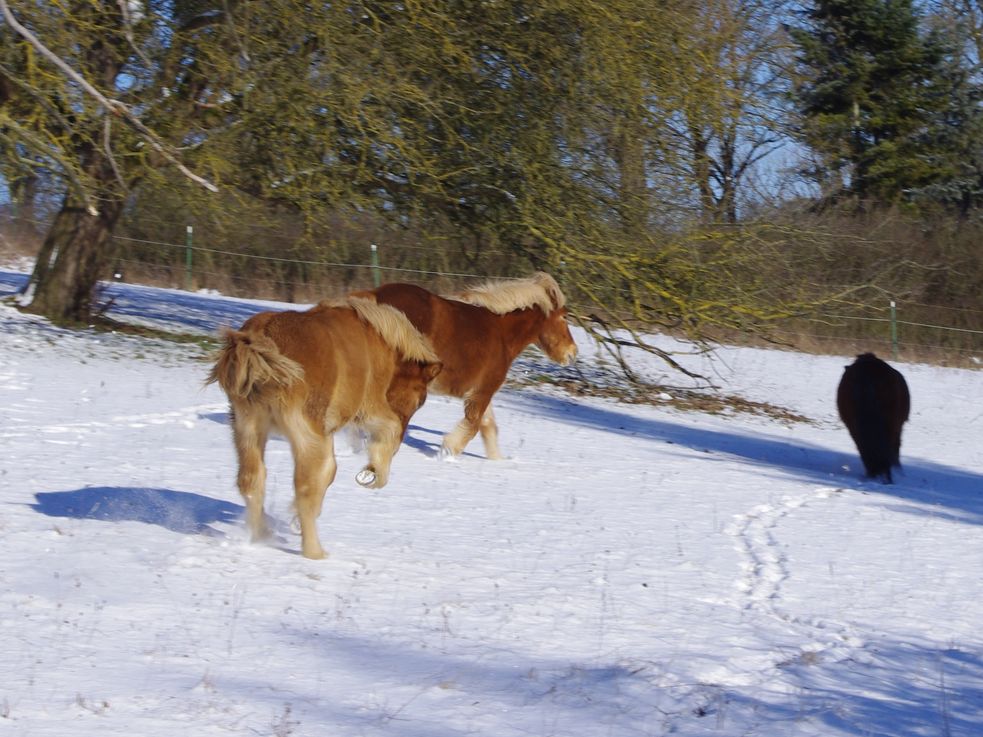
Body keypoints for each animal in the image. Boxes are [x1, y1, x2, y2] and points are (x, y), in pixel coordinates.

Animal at [210, 296, 442, 556]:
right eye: (420, 400)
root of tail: (261, 340)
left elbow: (329, 472)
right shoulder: (367, 410)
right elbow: (385, 433)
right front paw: (373, 474)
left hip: (247, 429)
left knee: (251, 480)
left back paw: (263, 536)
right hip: (307, 437)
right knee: (305, 487)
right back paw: (315, 552)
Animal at [352, 274, 576, 458]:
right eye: (564, 316)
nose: (573, 353)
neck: (502, 333)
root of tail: (374, 295)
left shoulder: (479, 391)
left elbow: (488, 427)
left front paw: (497, 461)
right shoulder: (483, 391)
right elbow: (474, 425)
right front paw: (447, 451)